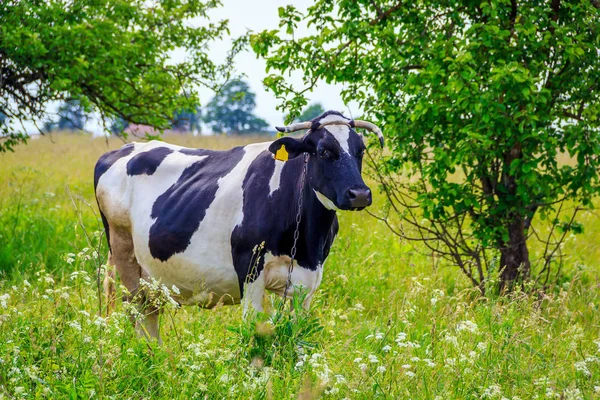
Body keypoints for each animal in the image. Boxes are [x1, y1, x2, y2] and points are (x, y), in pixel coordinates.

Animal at [94, 110, 384, 340]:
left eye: (360, 150)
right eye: (324, 151)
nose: (359, 193)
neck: (304, 240)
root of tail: (123, 149)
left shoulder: (309, 280)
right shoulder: (250, 269)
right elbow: (253, 332)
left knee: (151, 314)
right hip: (124, 253)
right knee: (138, 310)